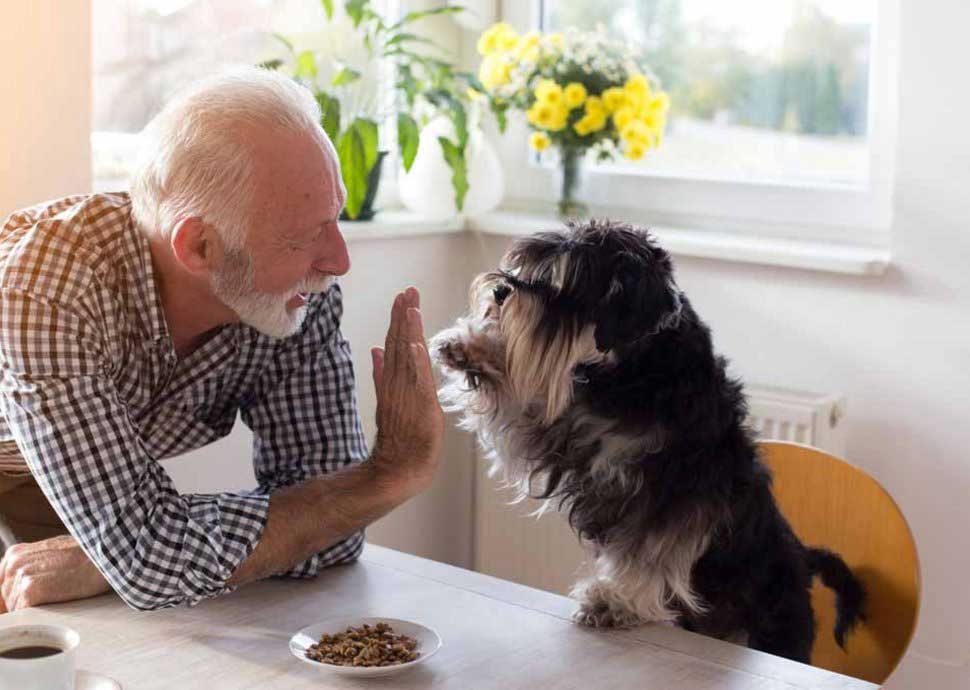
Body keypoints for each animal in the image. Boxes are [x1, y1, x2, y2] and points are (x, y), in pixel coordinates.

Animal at [432, 220, 864, 660]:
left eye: (567, 283)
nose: (501, 291)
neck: (635, 370)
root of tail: (802, 560)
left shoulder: (673, 494)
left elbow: (649, 553)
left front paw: (614, 602)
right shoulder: (562, 436)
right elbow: (519, 405)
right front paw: (469, 347)